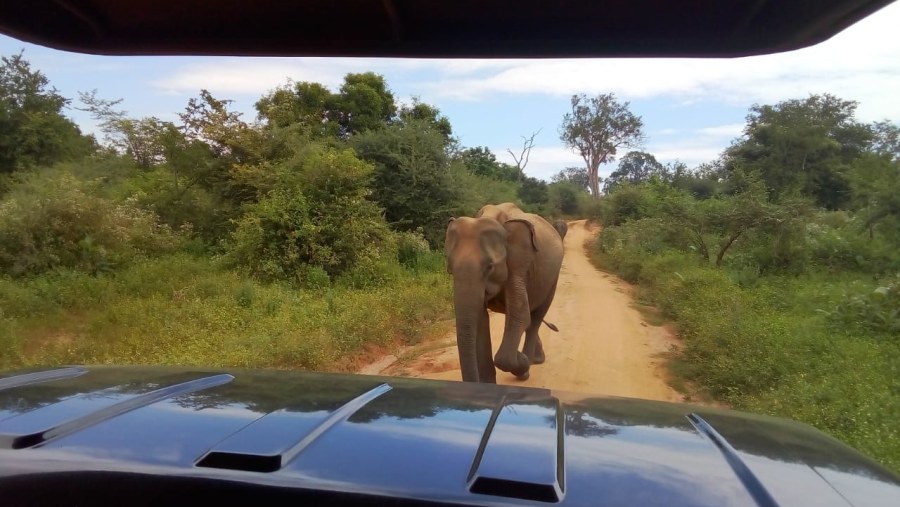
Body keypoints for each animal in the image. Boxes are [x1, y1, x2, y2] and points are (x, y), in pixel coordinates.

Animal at [442, 204, 564, 382]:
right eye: (449, 267)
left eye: (489, 266)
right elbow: (481, 321)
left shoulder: (518, 264)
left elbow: (520, 315)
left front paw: (521, 360)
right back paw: (535, 359)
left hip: (553, 277)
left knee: (535, 317)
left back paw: (527, 365)